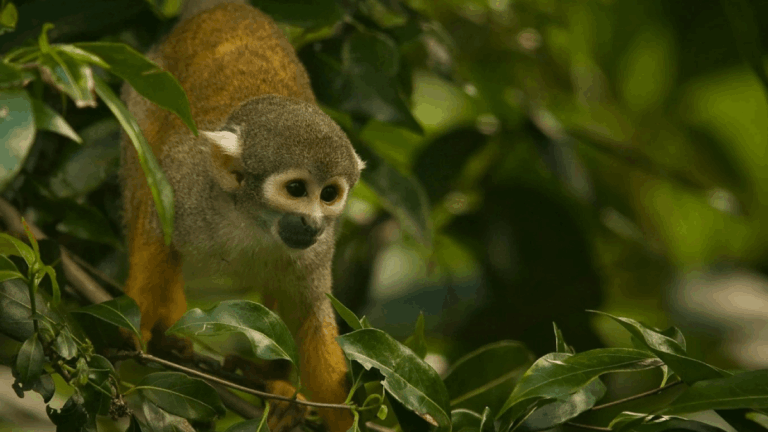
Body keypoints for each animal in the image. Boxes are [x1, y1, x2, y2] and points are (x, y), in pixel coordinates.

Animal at [119, 0, 362, 430]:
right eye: (296, 190)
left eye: (329, 195)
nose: (313, 222)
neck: (252, 221)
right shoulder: (188, 184)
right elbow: (157, 226)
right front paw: (137, 327)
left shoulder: (319, 249)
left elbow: (309, 315)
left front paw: (343, 418)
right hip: (139, 91)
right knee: (143, 164)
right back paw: (170, 325)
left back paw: (271, 379)